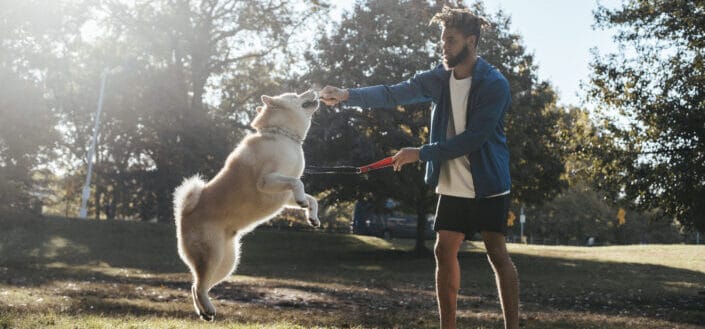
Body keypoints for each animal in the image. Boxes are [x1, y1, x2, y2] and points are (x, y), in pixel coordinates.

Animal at [173, 89, 320, 318]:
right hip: (212, 254)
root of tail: (184, 214)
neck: (283, 136)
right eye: (296, 94)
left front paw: (312, 215)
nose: (313, 90)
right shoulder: (267, 181)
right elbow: (298, 182)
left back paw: (204, 311)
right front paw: (303, 200)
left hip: (228, 262)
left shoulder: (283, 194)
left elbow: (310, 196)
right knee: (198, 285)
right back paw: (208, 308)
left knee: (197, 285)